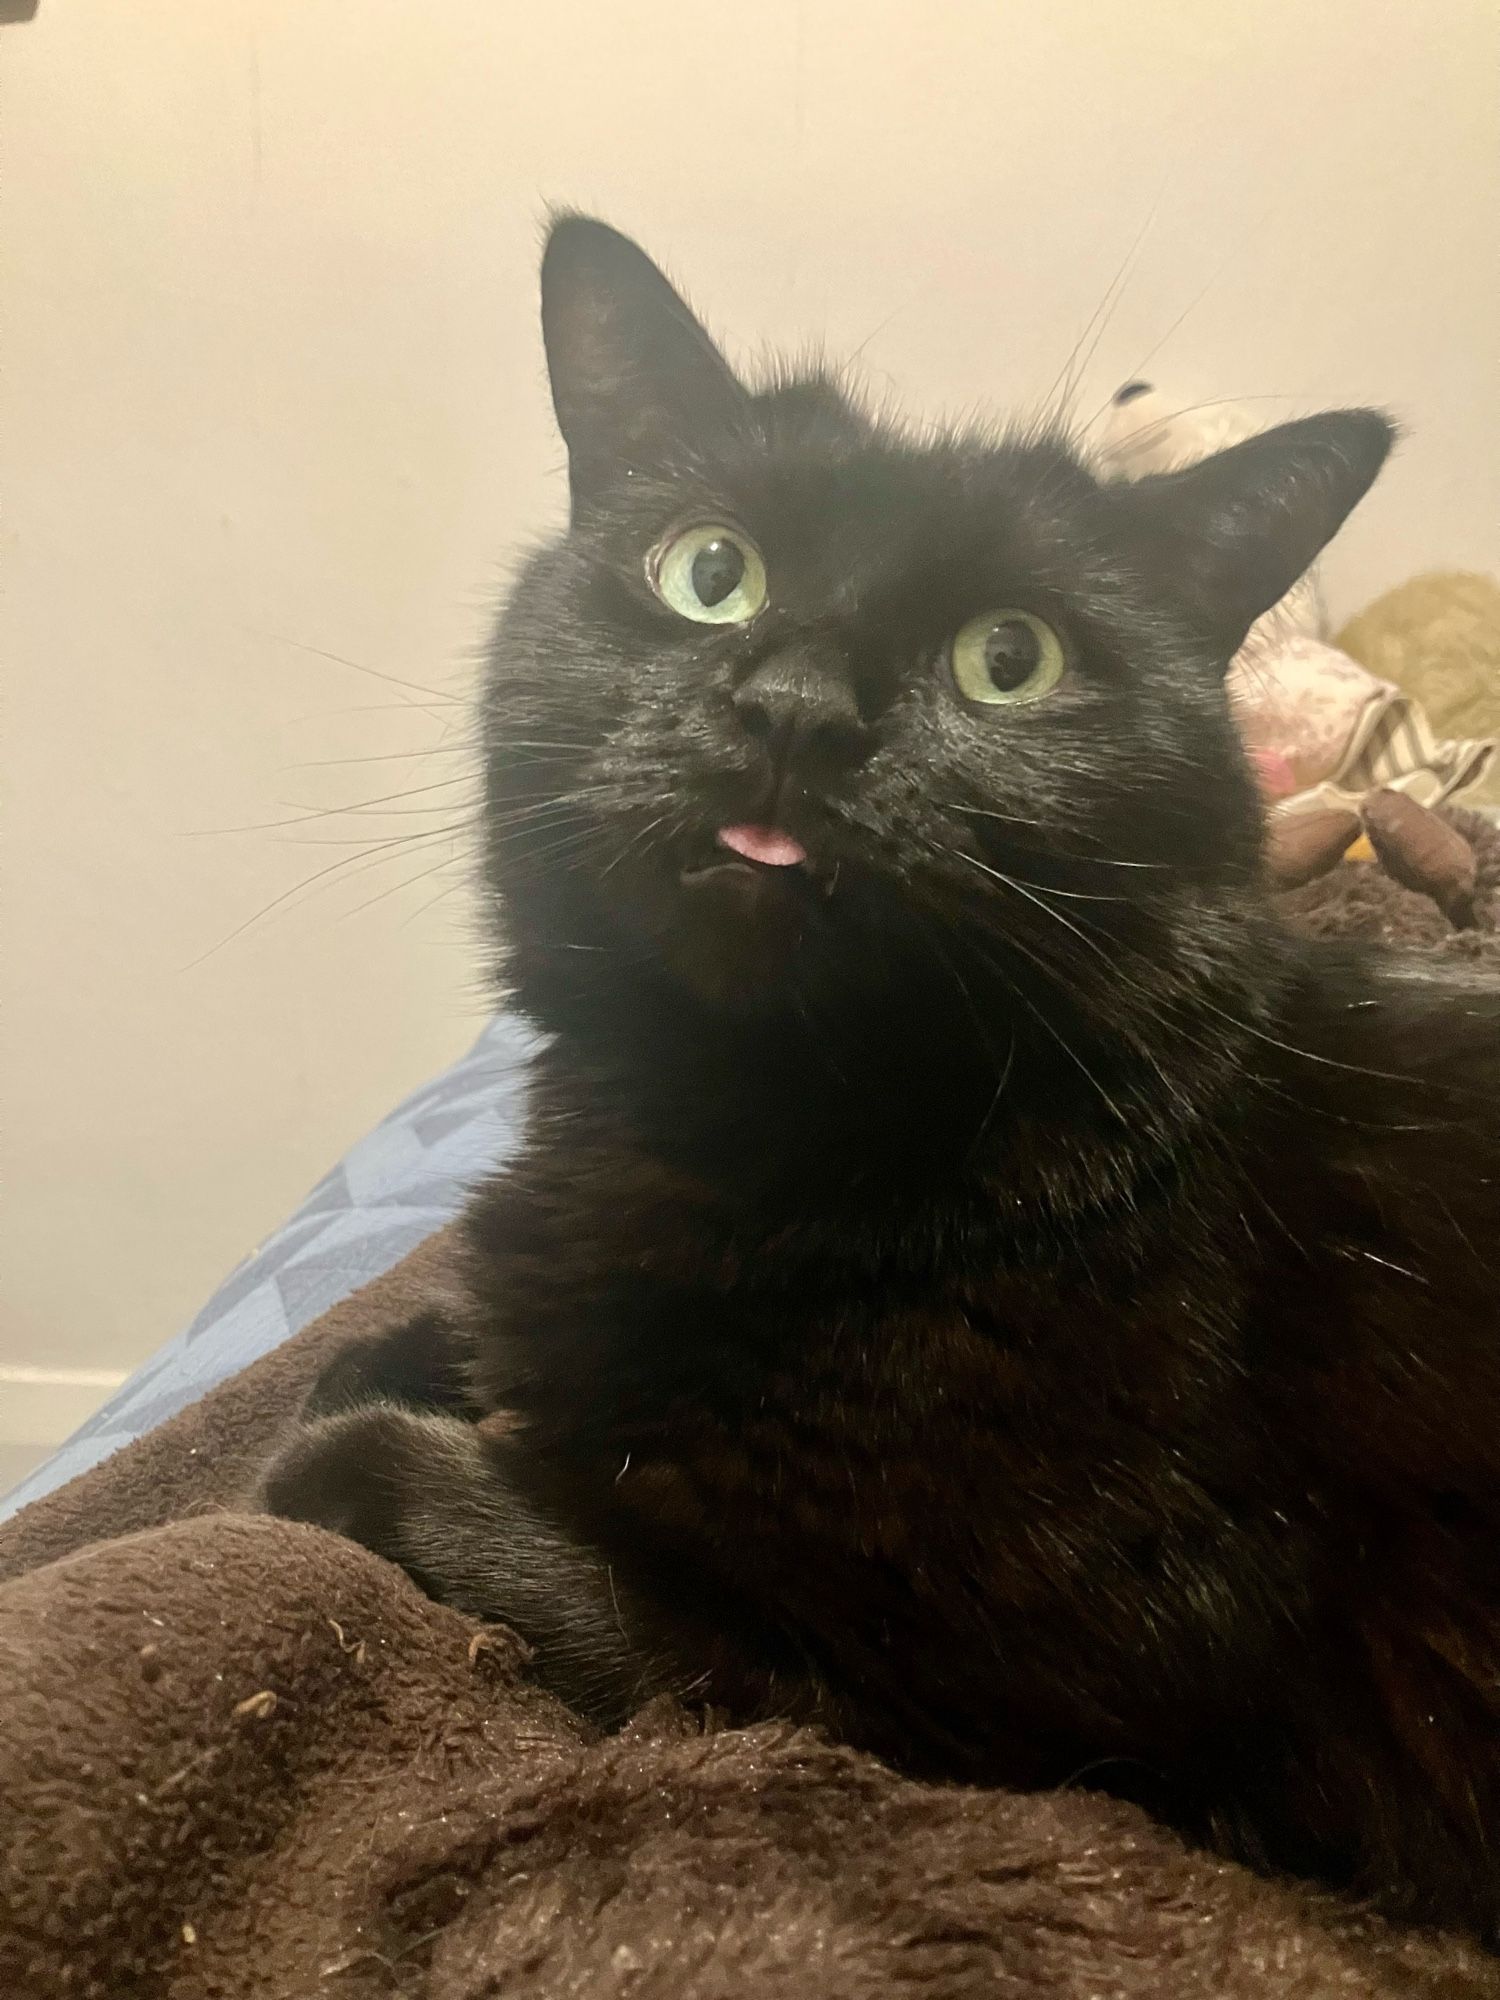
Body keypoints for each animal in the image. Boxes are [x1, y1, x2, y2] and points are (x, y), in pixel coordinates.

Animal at [270, 219, 1500, 1936]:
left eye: (1010, 661)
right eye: (709, 574)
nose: (796, 708)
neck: (756, 1120)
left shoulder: (916, 1689)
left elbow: (389, 1469)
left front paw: (378, 1441)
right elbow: (422, 1350)